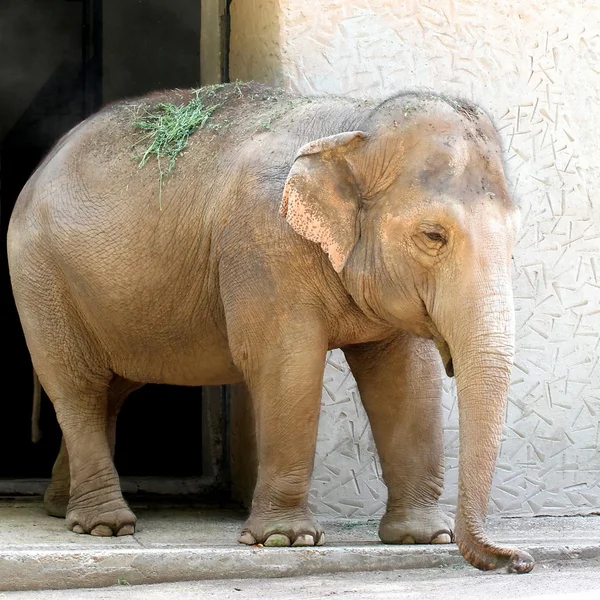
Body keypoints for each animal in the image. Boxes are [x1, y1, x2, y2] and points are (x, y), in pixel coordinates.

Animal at [8, 81, 536, 572]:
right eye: (433, 235)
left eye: (516, 237)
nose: (518, 560)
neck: (354, 126)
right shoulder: (263, 245)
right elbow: (286, 365)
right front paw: (286, 540)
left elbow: (406, 378)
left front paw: (423, 538)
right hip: (40, 279)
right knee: (76, 386)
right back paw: (105, 525)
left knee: (110, 391)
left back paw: (62, 509)